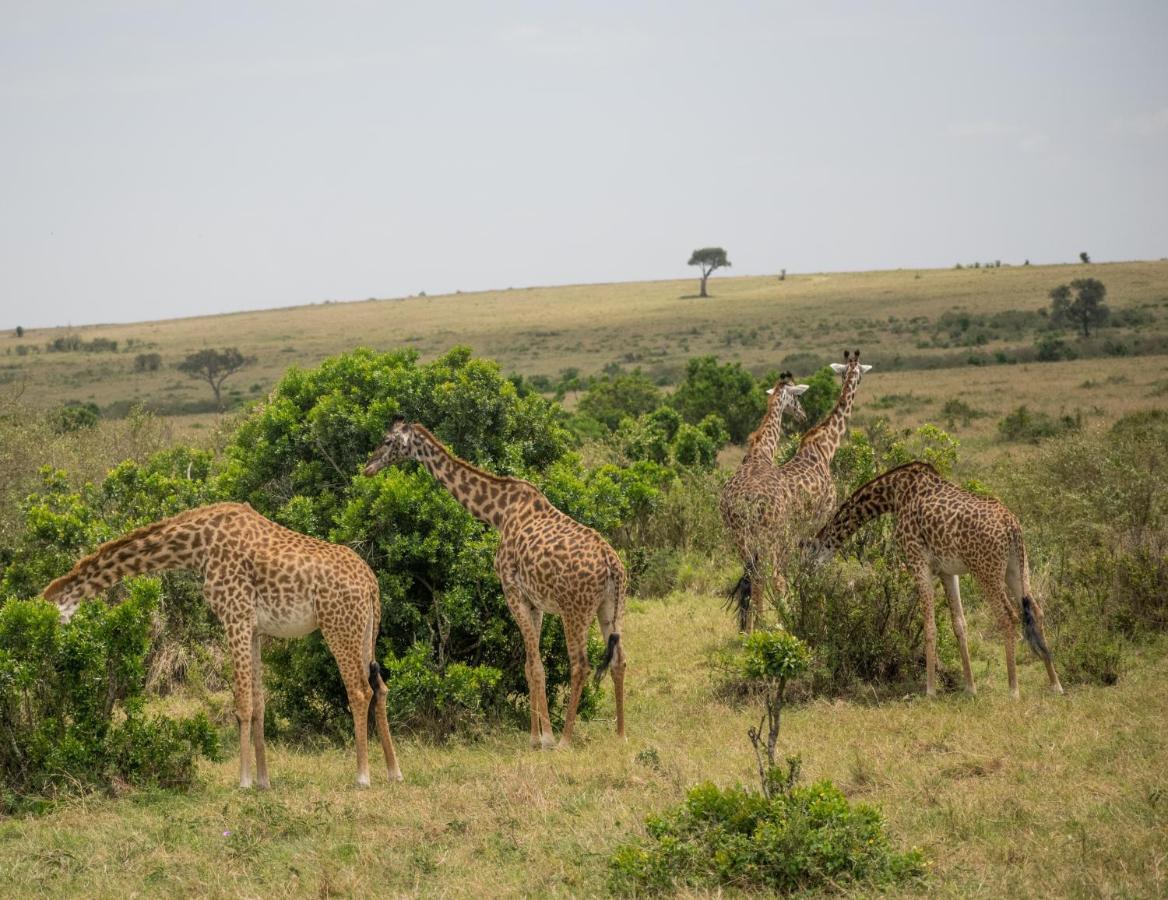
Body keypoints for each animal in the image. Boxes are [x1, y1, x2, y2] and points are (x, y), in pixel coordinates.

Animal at [41, 504, 404, 793]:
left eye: (49, 617)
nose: (47, 661)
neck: (196, 548)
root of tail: (371, 582)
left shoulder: (235, 616)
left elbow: (241, 704)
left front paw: (243, 782)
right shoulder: (254, 627)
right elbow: (259, 705)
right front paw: (263, 781)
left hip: (338, 625)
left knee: (359, 691)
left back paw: (363, 776)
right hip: (366, 631)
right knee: (380, 687)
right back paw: (394, 772)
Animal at [362, 417, 630, 751]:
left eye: (387, 441)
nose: (368, 467)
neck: (499, 513)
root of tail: (611, 563)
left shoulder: (511, 590)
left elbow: (536, 666)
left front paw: (546, 737)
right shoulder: (535, 601)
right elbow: (530, 665)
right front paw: (534, 736)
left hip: (575, 610)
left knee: (580, 664)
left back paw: (565, 740)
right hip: (612, 606)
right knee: (619, 660)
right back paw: (621, 734)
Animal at [714, 347, 873, 630]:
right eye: (798, 397)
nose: (802, 413)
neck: (825, 448)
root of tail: (746, 503)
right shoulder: (820, 518)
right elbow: (812, 566)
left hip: (740, 536)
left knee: (753, 576)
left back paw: (754, 627)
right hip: (769, 536)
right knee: (772, 575)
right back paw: (778, 622)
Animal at [808, 462, 1065, 700]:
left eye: (806, 554)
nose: (806, 576)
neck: (894, 494)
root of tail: (1011, 526)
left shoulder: (918, 562)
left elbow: (930, 626)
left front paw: (930, 691)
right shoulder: (947, 571)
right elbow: (959, 624)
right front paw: (970, 688)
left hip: (986, 571)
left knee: (1008, 616)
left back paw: (1013, 689)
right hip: (1017, 568)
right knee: (1036, 611)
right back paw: (1055, 685)